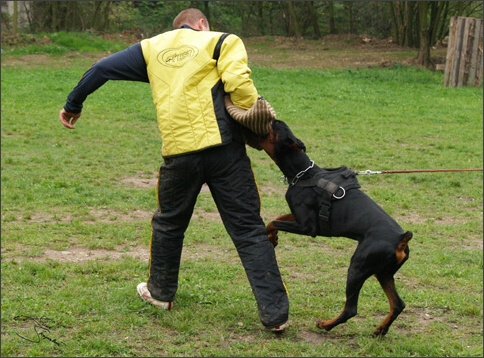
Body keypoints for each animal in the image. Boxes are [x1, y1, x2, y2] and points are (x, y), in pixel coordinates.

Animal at [260, 119, 414, 336]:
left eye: (276, 126)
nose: (274, 118)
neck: (304, 174)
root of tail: (401, 238)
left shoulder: (308, 227)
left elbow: (274, 221)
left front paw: (271, 236)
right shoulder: (299, 217)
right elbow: (276, 218)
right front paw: (273, 237)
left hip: (358, 267)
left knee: (351, 309)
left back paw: (326, 325)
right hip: (383, 272)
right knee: (398, 304)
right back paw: (380, 330)